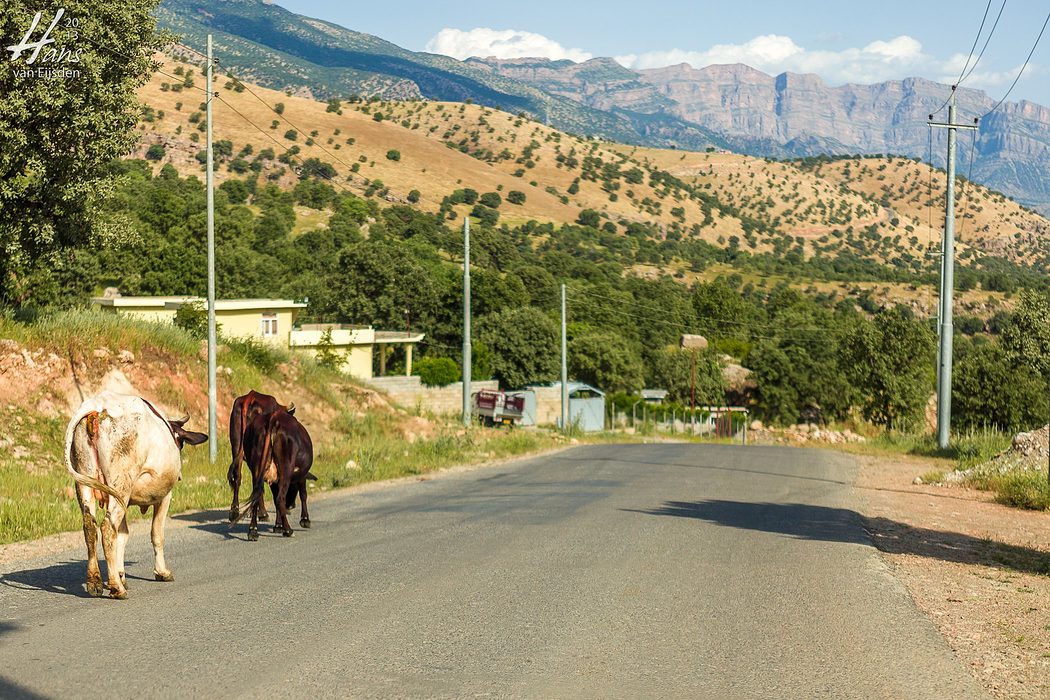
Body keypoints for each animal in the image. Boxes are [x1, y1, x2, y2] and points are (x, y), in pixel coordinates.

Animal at [64, 392, 207, 600]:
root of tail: (98, 405)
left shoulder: (123, 500)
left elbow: (123, 536)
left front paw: (121, 574)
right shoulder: (164, 496)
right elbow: (157, 534)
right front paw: (161, 572)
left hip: (86, 482)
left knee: (90, 527)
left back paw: (95, 582)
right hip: (121, 483)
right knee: (107, 528)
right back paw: (116, 588)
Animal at [227, 392, 294, 522]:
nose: (291, 506)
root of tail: (250, 397)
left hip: (236, 445)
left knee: (238, 476)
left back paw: (234, 511)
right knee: (258, 479)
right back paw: (263, 513)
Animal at [239, 407, 312, 545]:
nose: (291, 505)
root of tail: (272, 418)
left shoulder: (273, 480)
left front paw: (278, 526)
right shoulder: (302, 475)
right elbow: (303, 494)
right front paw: (305, 520)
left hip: (256, 469)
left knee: (258, 496)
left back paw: (253, 531)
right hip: (286, 469)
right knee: (280, 498)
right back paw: (288, 530)